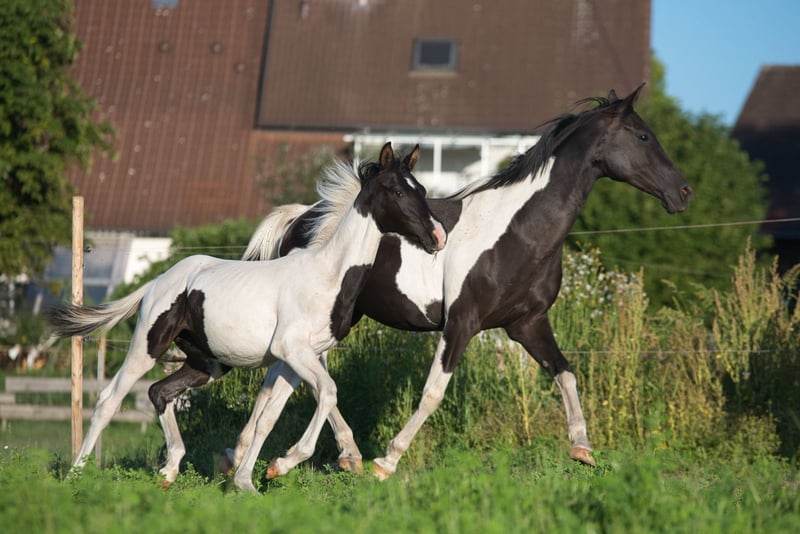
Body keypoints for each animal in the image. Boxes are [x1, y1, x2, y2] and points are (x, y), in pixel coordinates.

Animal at [45, 142, 447, 493]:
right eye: (397, 191)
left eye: (422, 188)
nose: (438, 237)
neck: (328, 276)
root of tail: (159, 282)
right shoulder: (293, 351)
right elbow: (328, 393)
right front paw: (283, 465)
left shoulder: (295, 360)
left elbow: (269, 417)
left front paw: (249, 481)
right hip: (147, 347)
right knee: (108, 400)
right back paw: (76, 474)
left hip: (207, 363)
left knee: (160, 392)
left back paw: (170, 470)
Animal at [223, 84, 693, 482]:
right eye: (643, 136)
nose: (683, 192)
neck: (518, 231)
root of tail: (301, 218)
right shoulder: (461, 323)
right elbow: (433, 393)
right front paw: (387, 461)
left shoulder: (527, 323)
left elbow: (565, 373)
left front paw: (582, 449)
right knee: (304, 374)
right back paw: (337, 455)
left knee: (280, 375)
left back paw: (244, 452)